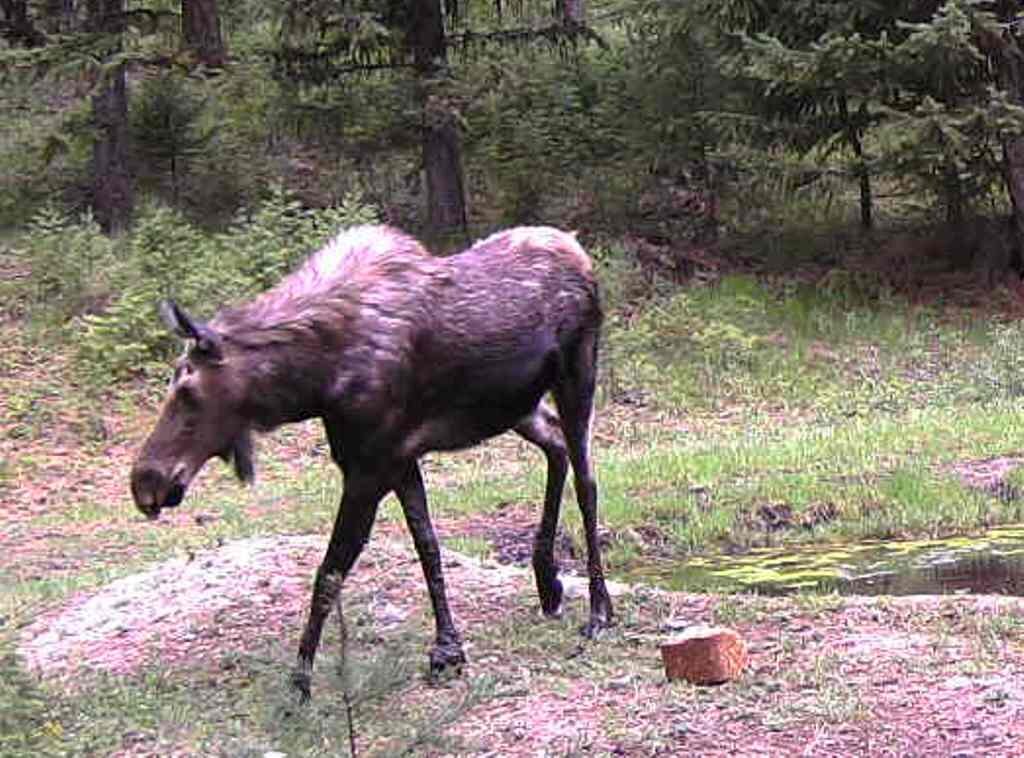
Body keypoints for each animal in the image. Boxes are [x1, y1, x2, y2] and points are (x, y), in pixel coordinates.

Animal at [126, 225, 606, 700]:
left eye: (188, 391)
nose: (144, 482)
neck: (310, 383)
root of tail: (579, 251)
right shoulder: (398, 459)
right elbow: (427, 546)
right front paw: (448, 649)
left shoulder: (367, 469)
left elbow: (330, 572)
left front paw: (299, 684)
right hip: (515, 407)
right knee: (556, 445)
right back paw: (547, 580)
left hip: (576, 376)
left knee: (587, 481)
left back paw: (599, 610)